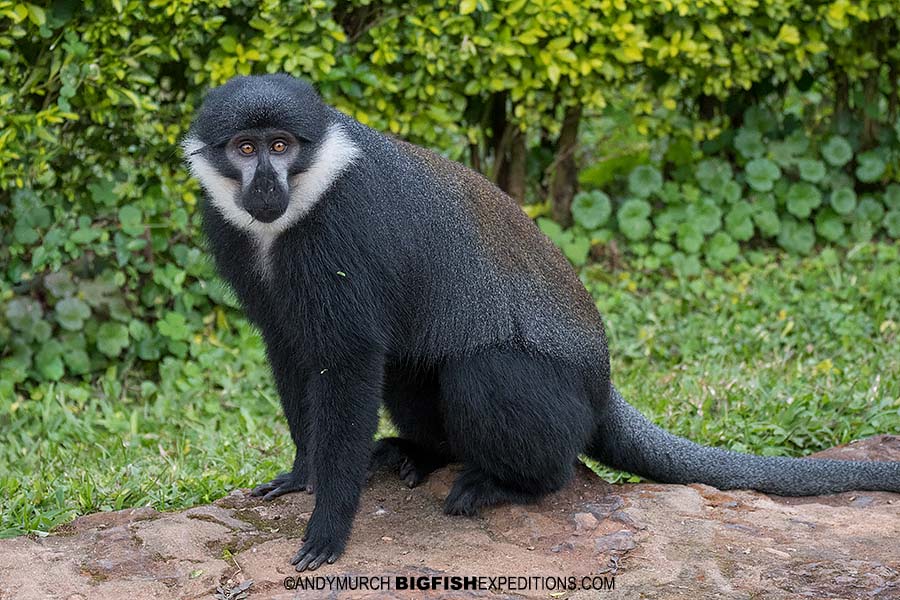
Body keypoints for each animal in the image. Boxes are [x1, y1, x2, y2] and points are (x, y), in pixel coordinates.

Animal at [183, 74, 900, 572]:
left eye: (281, 146)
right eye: (245, 148)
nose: (265, 186)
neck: (302, 200)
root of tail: (603, 384)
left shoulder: (343, 234)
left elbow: (349, 362)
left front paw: (329, 526)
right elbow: (292, 351)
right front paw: (301, 474)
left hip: (557, 403)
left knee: (487, 374)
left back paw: (510, 485)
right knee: (414, 368)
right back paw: (426, 452)